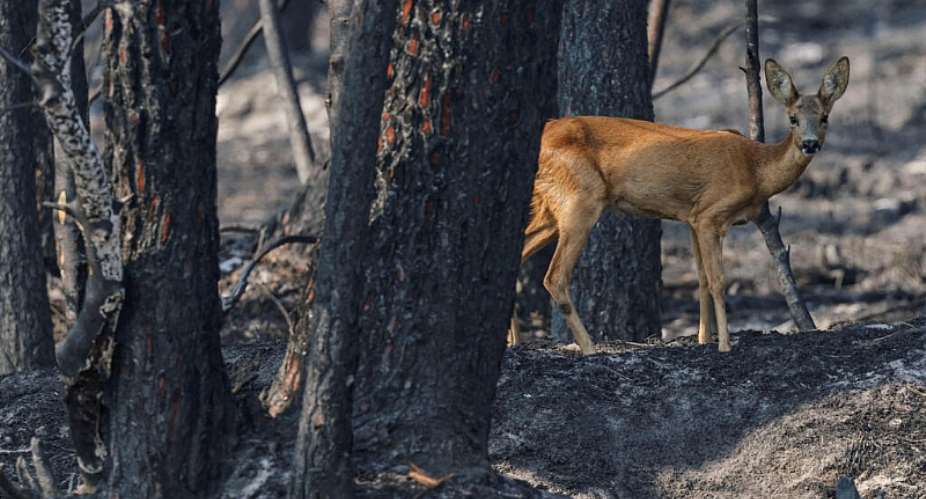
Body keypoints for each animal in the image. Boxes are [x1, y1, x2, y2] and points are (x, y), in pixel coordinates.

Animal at [509, 57, 850, 355]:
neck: (755, 168)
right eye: (793, 119)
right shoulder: (711, 214)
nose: (809, 144)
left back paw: (514, 341)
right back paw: (590, 349)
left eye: (824, 118)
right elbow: (718, 280)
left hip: (551, 205)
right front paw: (725, 345)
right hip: (581, 198)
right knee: (555, 277)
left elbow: (701, 279)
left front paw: (703, 339)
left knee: (519, 250)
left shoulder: (691, 217)